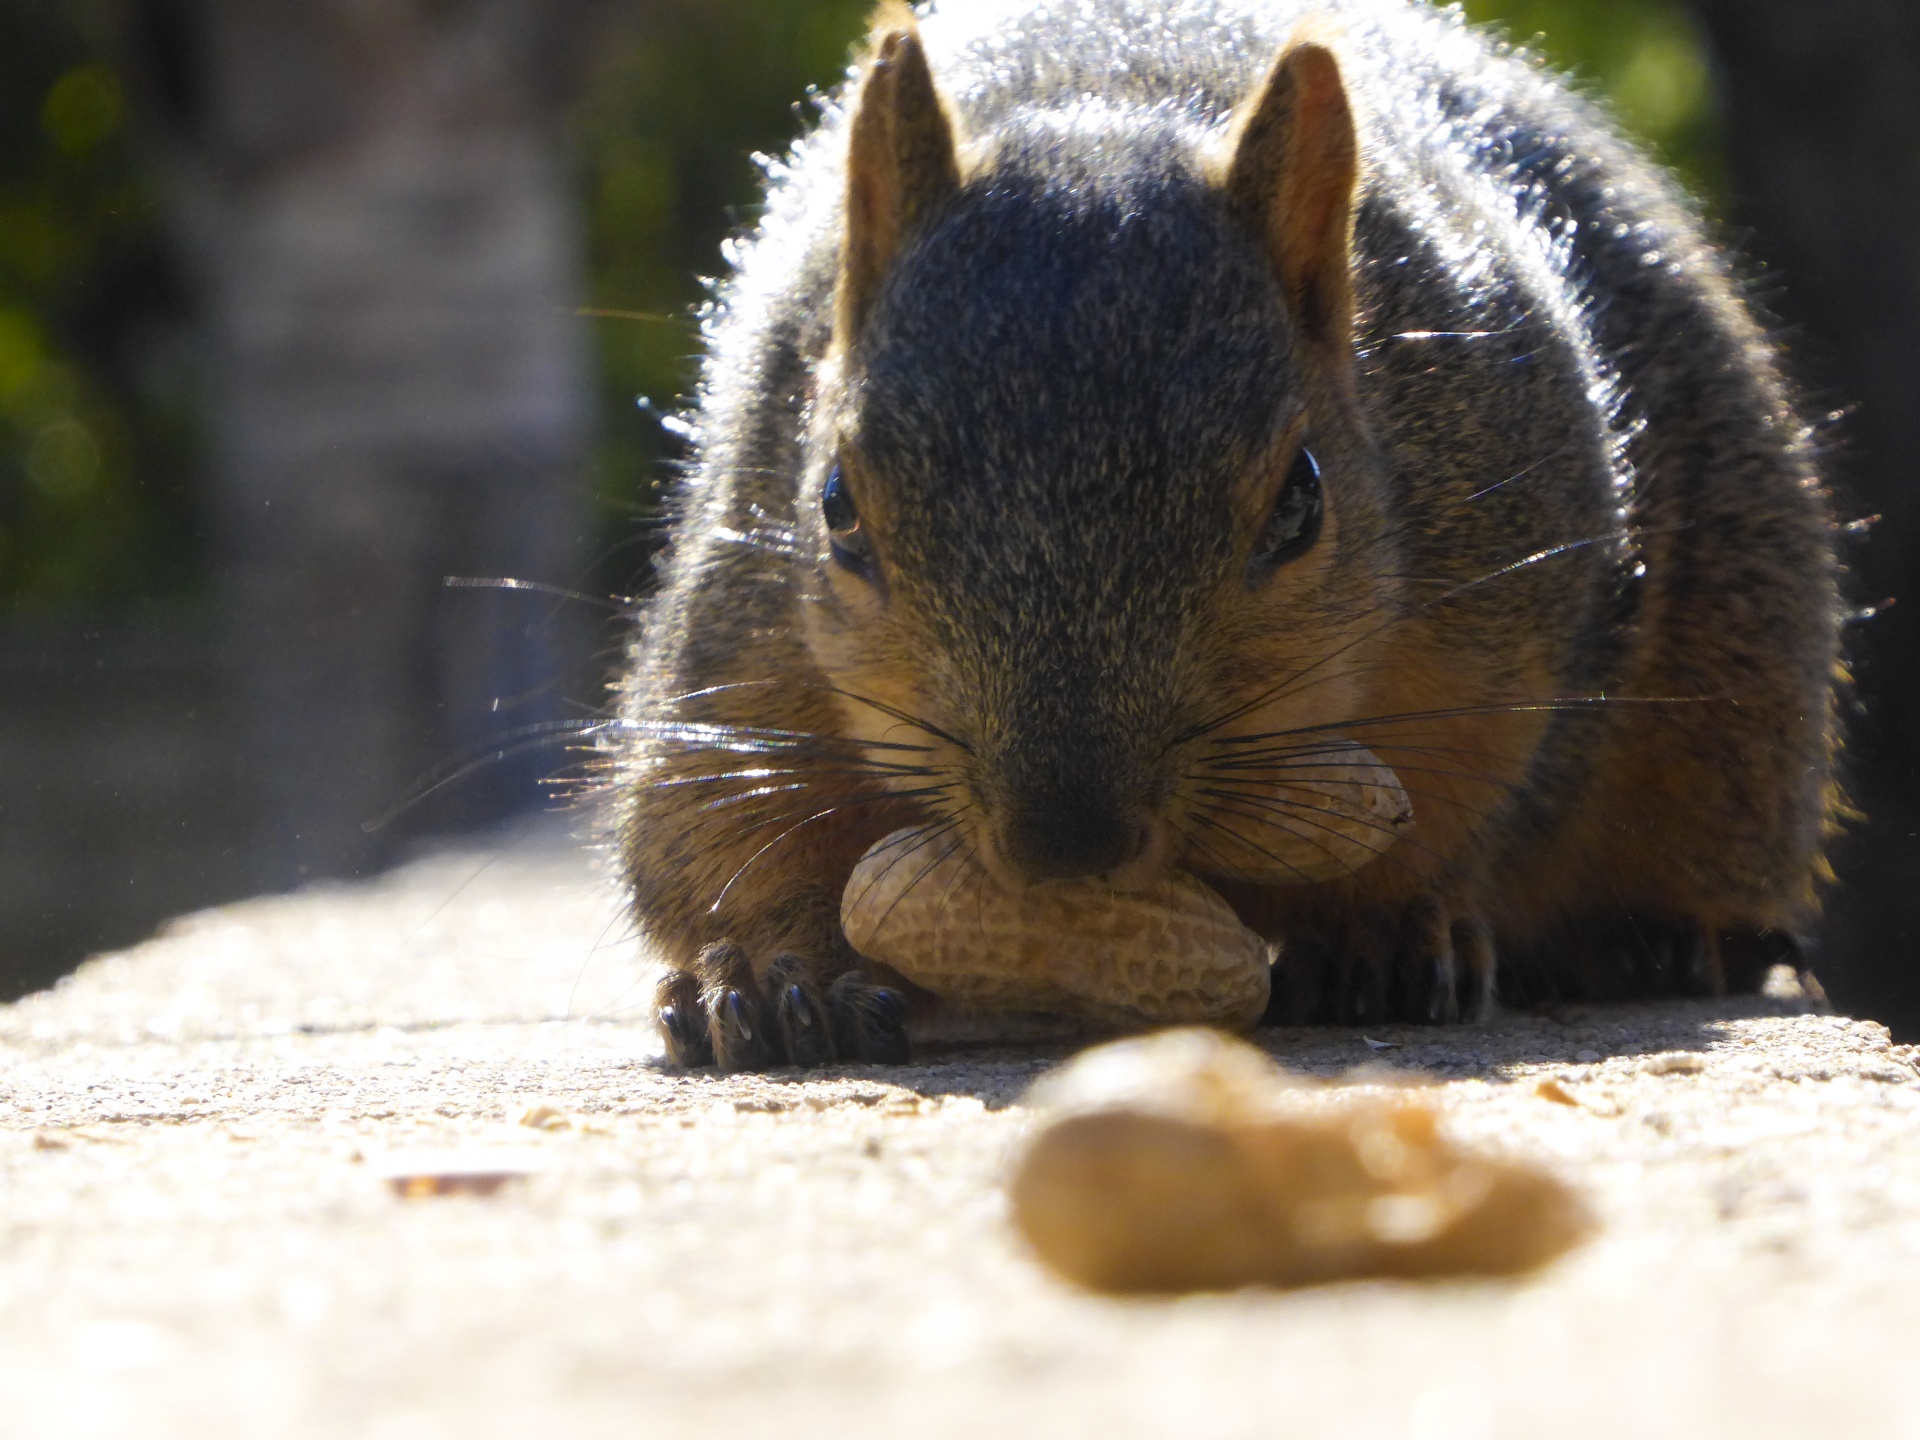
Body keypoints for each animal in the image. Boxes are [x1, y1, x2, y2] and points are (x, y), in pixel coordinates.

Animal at [614, 0, 1843, 1067]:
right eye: (835, 507)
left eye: (1302, 500)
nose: (1067, 845)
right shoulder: (745, 638)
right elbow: (712, 816)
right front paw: (770, 973)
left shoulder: (1502, 628)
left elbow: (1463, 791)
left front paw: (1376, 931)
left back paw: (1650, 935)